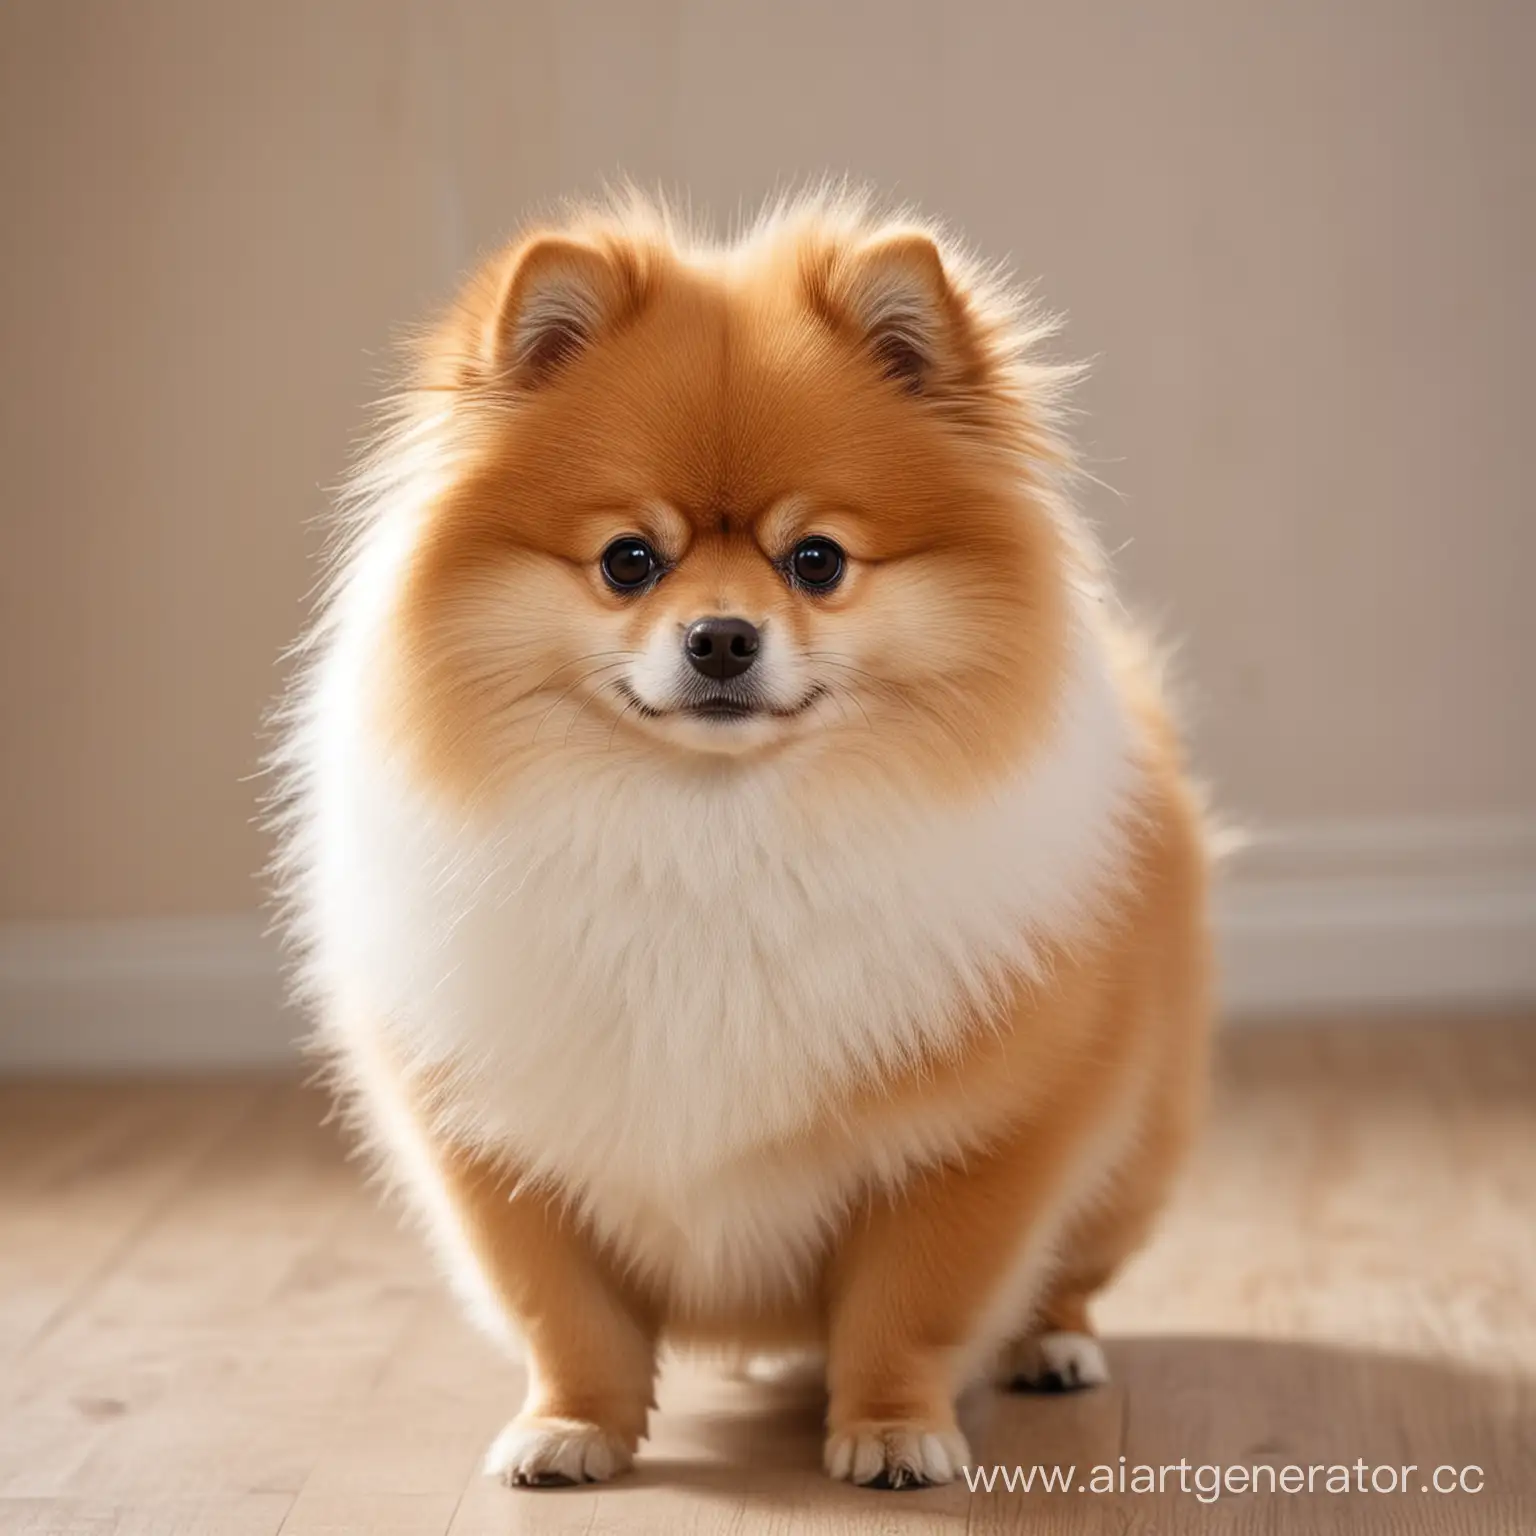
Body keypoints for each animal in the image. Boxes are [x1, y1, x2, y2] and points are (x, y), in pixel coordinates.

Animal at [276, 188, 1210, 1486]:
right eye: (629, 561)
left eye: (816, 560)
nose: (721, 636)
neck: (711, 835)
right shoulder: (504, 1145)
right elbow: (567, 1315)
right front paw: (570, 1428)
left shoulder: (978, 1137)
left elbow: (910, 1304)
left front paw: (893, 1431)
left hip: (1134, 1143)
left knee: (1071, 1267)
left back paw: (1052, 1348)